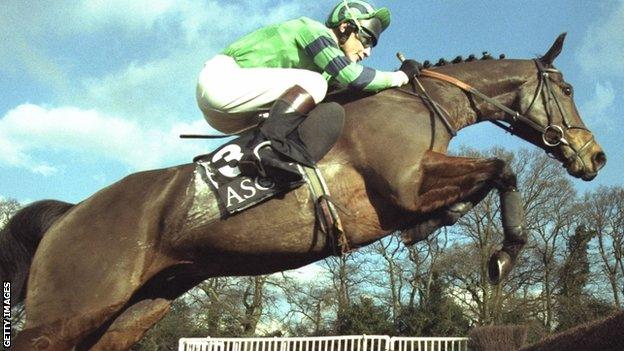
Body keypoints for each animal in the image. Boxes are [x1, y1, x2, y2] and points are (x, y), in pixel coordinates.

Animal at [1, 33, 604, 350]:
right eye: (569, 87)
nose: (595, 156)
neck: (418, 106)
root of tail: (70, 213)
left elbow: (485, 180)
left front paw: (448, 223)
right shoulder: (405, 187)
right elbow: (503, 168)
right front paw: (503, 255)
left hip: (136, 309)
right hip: (70, 311)